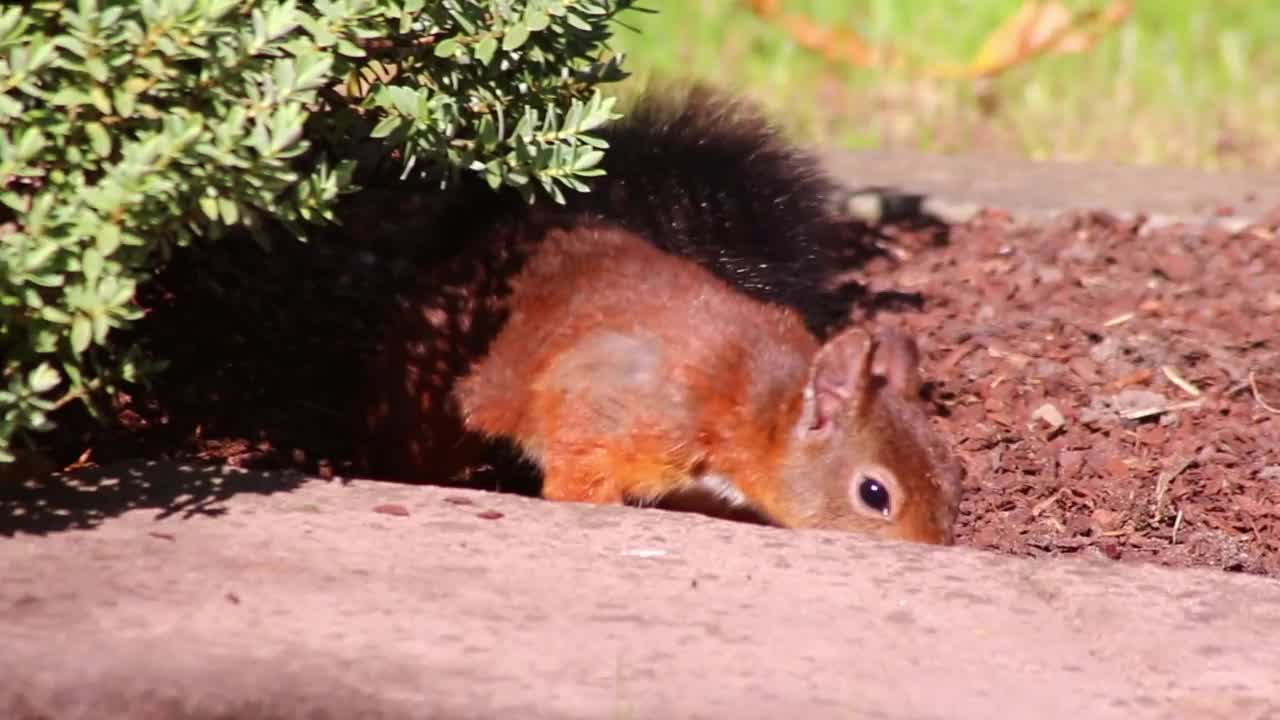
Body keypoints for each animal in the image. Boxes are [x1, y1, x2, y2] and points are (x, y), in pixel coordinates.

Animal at [360, 87, 962, 540]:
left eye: (951, 472)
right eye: (874, 493)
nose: (931, 548)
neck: (752, 399)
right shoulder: (611, 405)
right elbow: (577, 467)